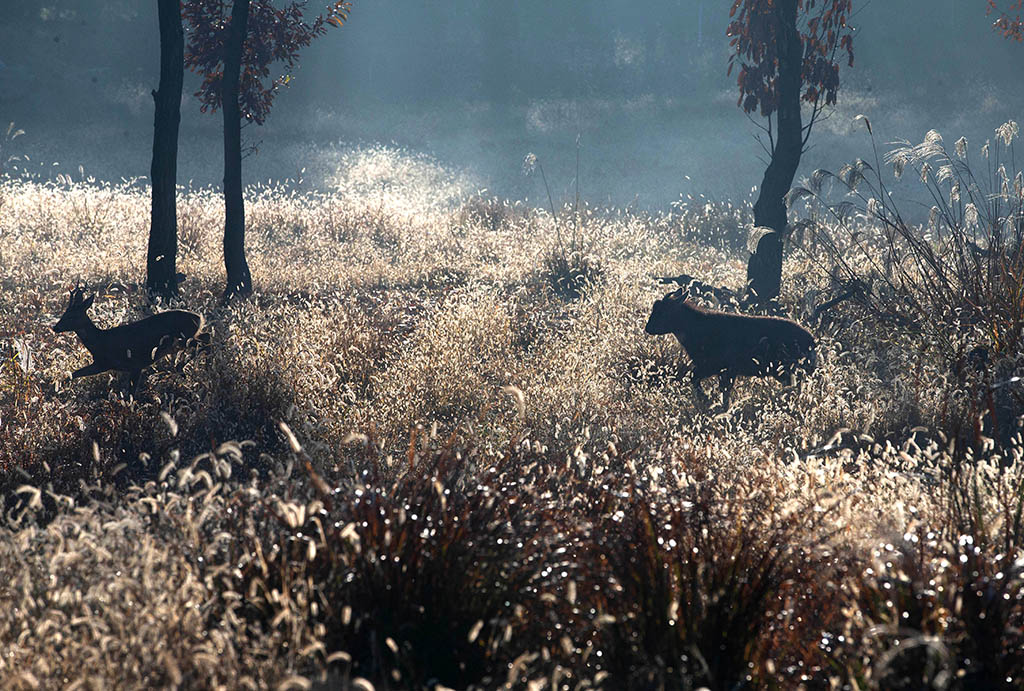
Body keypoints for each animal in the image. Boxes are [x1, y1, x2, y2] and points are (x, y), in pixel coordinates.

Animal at [52, 288, 206, 395]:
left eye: (72, 316)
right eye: (64, 313)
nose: (55, 327)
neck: (101, 341)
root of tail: (199, 317)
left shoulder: (135, 364)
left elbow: (131, 394)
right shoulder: (102, 364)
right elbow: (73, 374)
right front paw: (56, 389)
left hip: (183, 338)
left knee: (204, 342)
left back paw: (180, 368)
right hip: (184, 338)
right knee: (206, 337)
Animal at [647, 288, 815, 413]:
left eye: (664, 311)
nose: (648, 328)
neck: (698, 326)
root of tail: (811, 340)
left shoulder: (719, 368)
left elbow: (702, 382)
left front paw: (708, 400)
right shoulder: (719, 370)